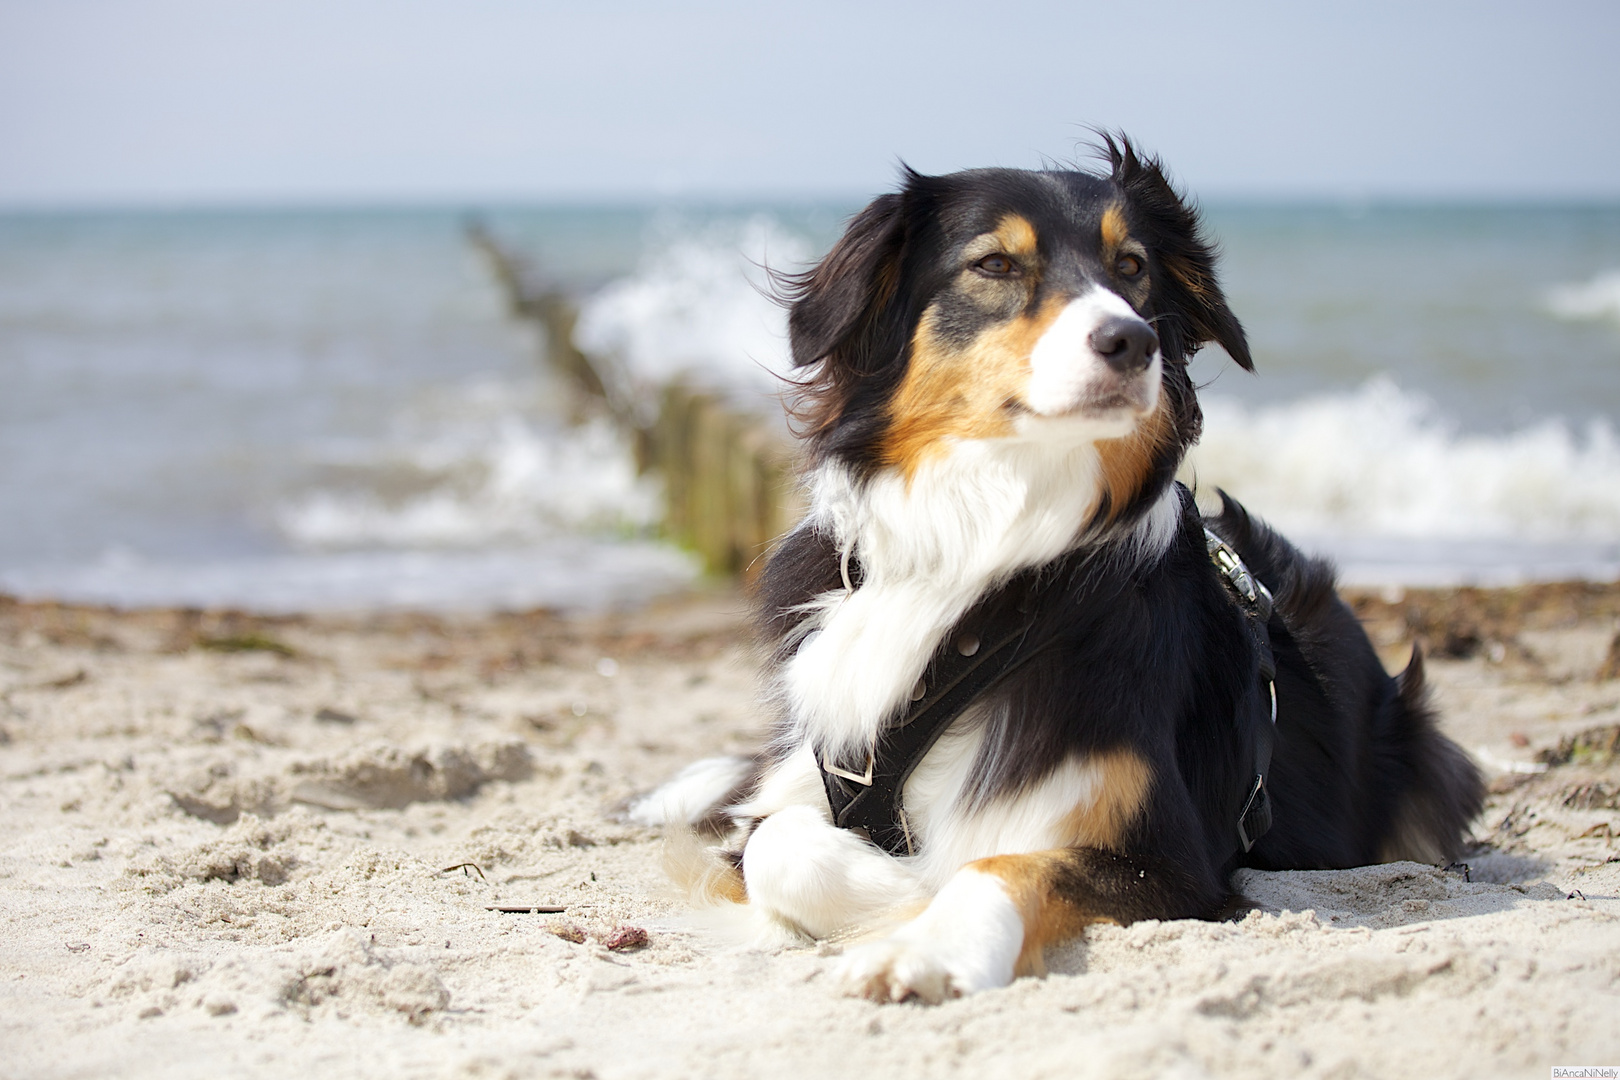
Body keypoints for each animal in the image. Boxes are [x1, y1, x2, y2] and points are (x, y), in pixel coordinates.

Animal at [628, 135, 1483, 1003]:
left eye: (1132, 266)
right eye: (996, 264)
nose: (1133, 341)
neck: (984, 552)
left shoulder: (1167, 860)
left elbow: (998, 864)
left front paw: (923, 939)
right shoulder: (812, 773)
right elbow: (775, 844)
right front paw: (900, 888)